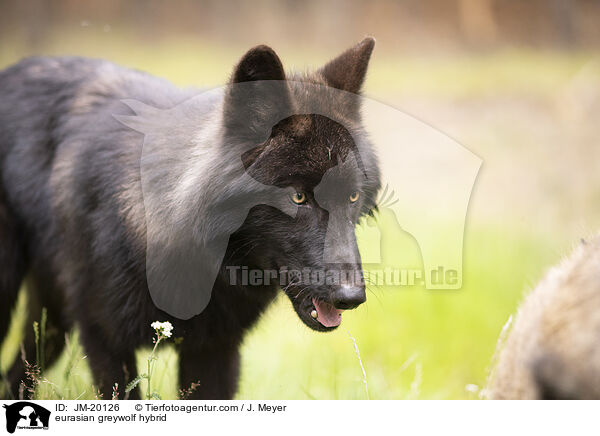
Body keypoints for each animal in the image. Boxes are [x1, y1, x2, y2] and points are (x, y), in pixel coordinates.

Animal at [1, 38, 380, 398]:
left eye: (352, 197)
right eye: (298, 196)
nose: (351, 297)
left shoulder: (214, 351)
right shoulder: (104, 341)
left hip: (51, 325)